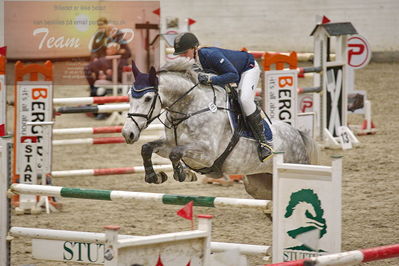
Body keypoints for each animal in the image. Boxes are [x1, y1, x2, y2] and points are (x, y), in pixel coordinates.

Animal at [122, 58, 318, 200]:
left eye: (147, 98)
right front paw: (154, 176)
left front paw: (182, 174)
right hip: (259, 184)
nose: (127, 133)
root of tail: (298, 134)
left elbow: (175, 154)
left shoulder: (206, 153)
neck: (189, 108)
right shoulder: (170, 143)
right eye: (130, 95)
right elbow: (147, 148)